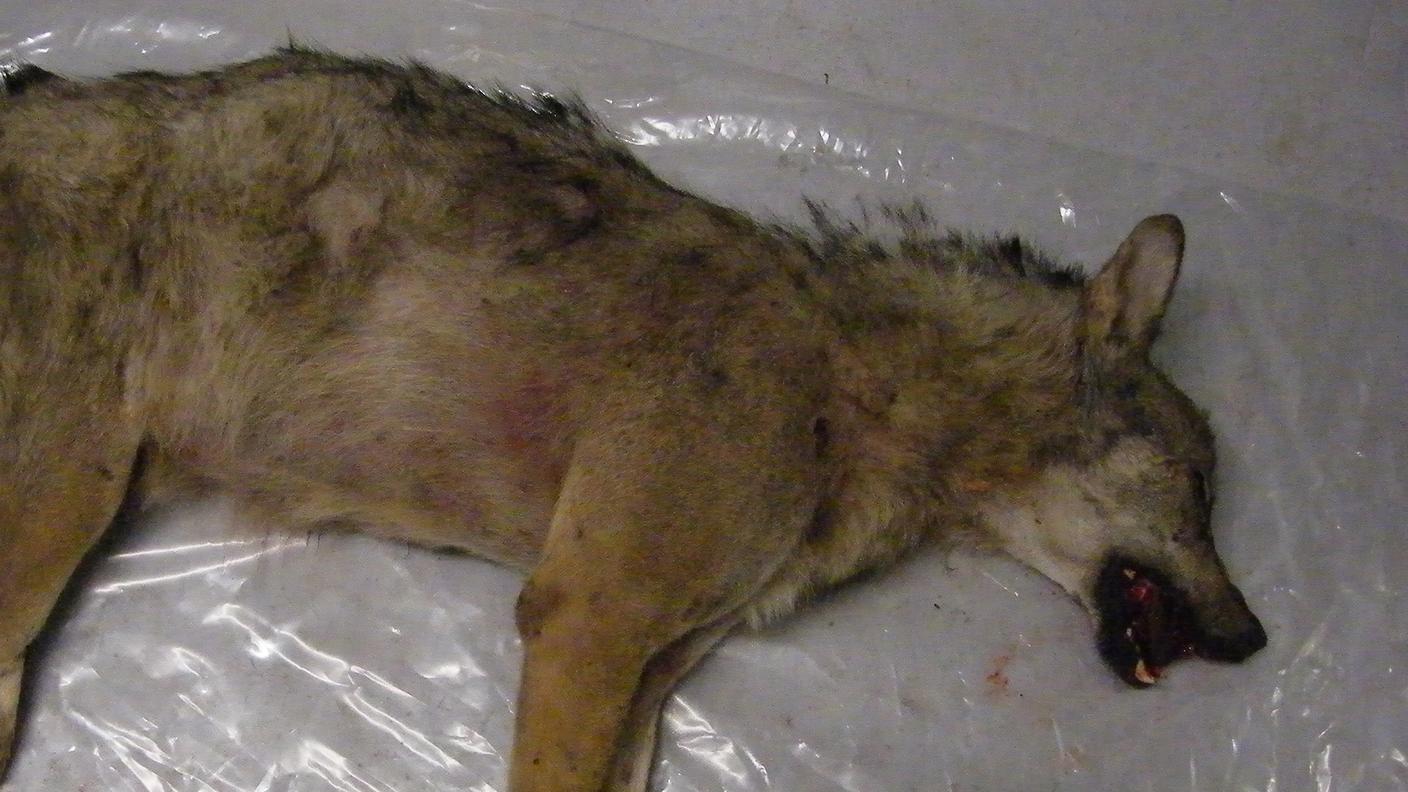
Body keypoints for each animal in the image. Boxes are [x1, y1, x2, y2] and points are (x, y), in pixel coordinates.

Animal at [0, 49, 1266, 790]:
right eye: (1199, 488)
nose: (1253, 638)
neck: (855, 387)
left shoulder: (656, 669)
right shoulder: (588, 620)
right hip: (54, 525)